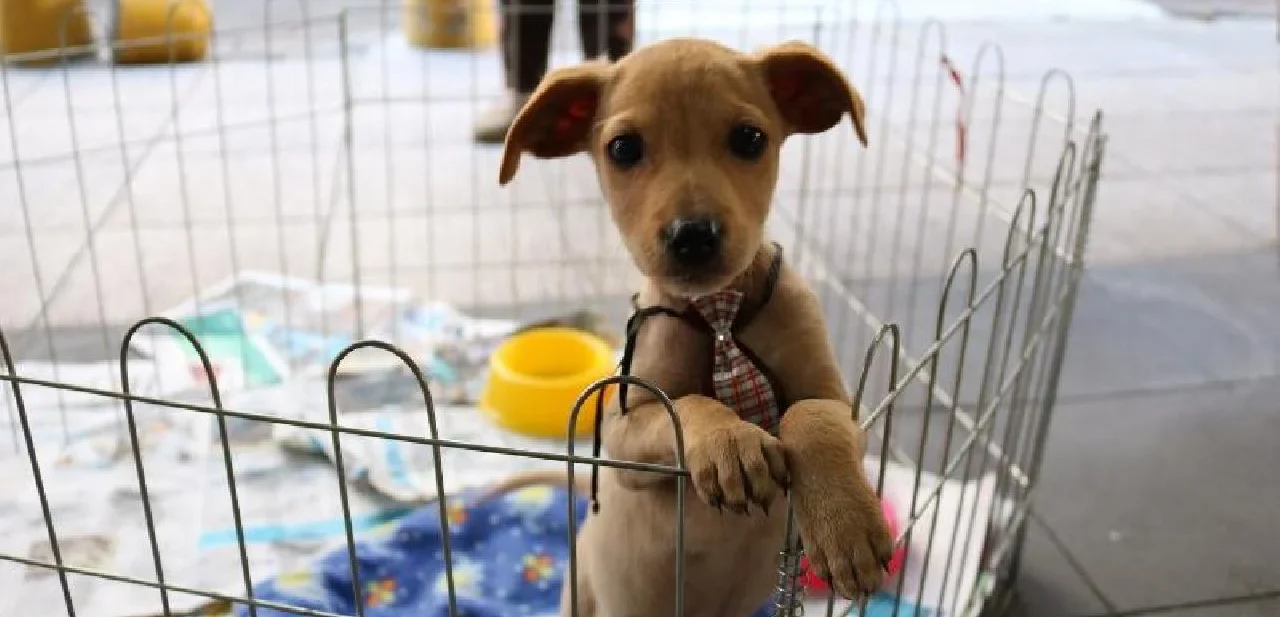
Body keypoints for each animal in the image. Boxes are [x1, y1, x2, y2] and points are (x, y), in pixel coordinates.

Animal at [496, 37, 895, 617]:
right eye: (623, 149)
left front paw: (846, 527)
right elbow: (686, 405)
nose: (693, 236)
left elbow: (812, 418)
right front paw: (730, 442)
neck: (718, 314)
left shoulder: (840, 401)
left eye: (750, 138)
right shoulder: (623, 439)